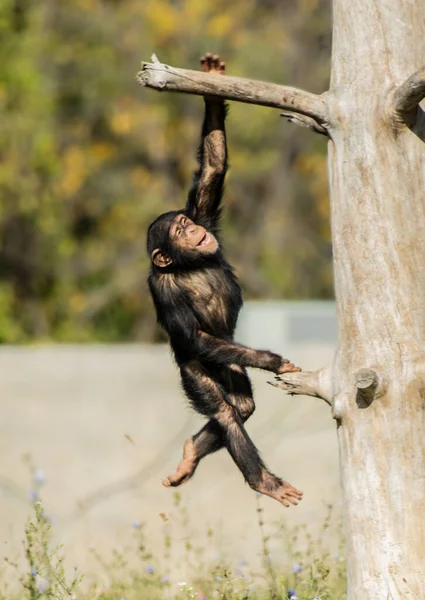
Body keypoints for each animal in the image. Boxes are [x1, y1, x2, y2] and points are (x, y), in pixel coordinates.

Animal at [147, 55, 304, 506]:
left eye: (186, 223)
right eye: (178, 232)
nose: (192, 231)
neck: (185, 265)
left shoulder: (202, 208)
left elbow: (213, 167)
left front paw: (213, 84)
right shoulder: (161, 289)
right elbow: (192, 331)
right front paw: (272, 359)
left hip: (231, 360)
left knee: (242, 405)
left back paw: (189, 455)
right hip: (196, 366)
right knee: (224, 412)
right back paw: (264, 482)